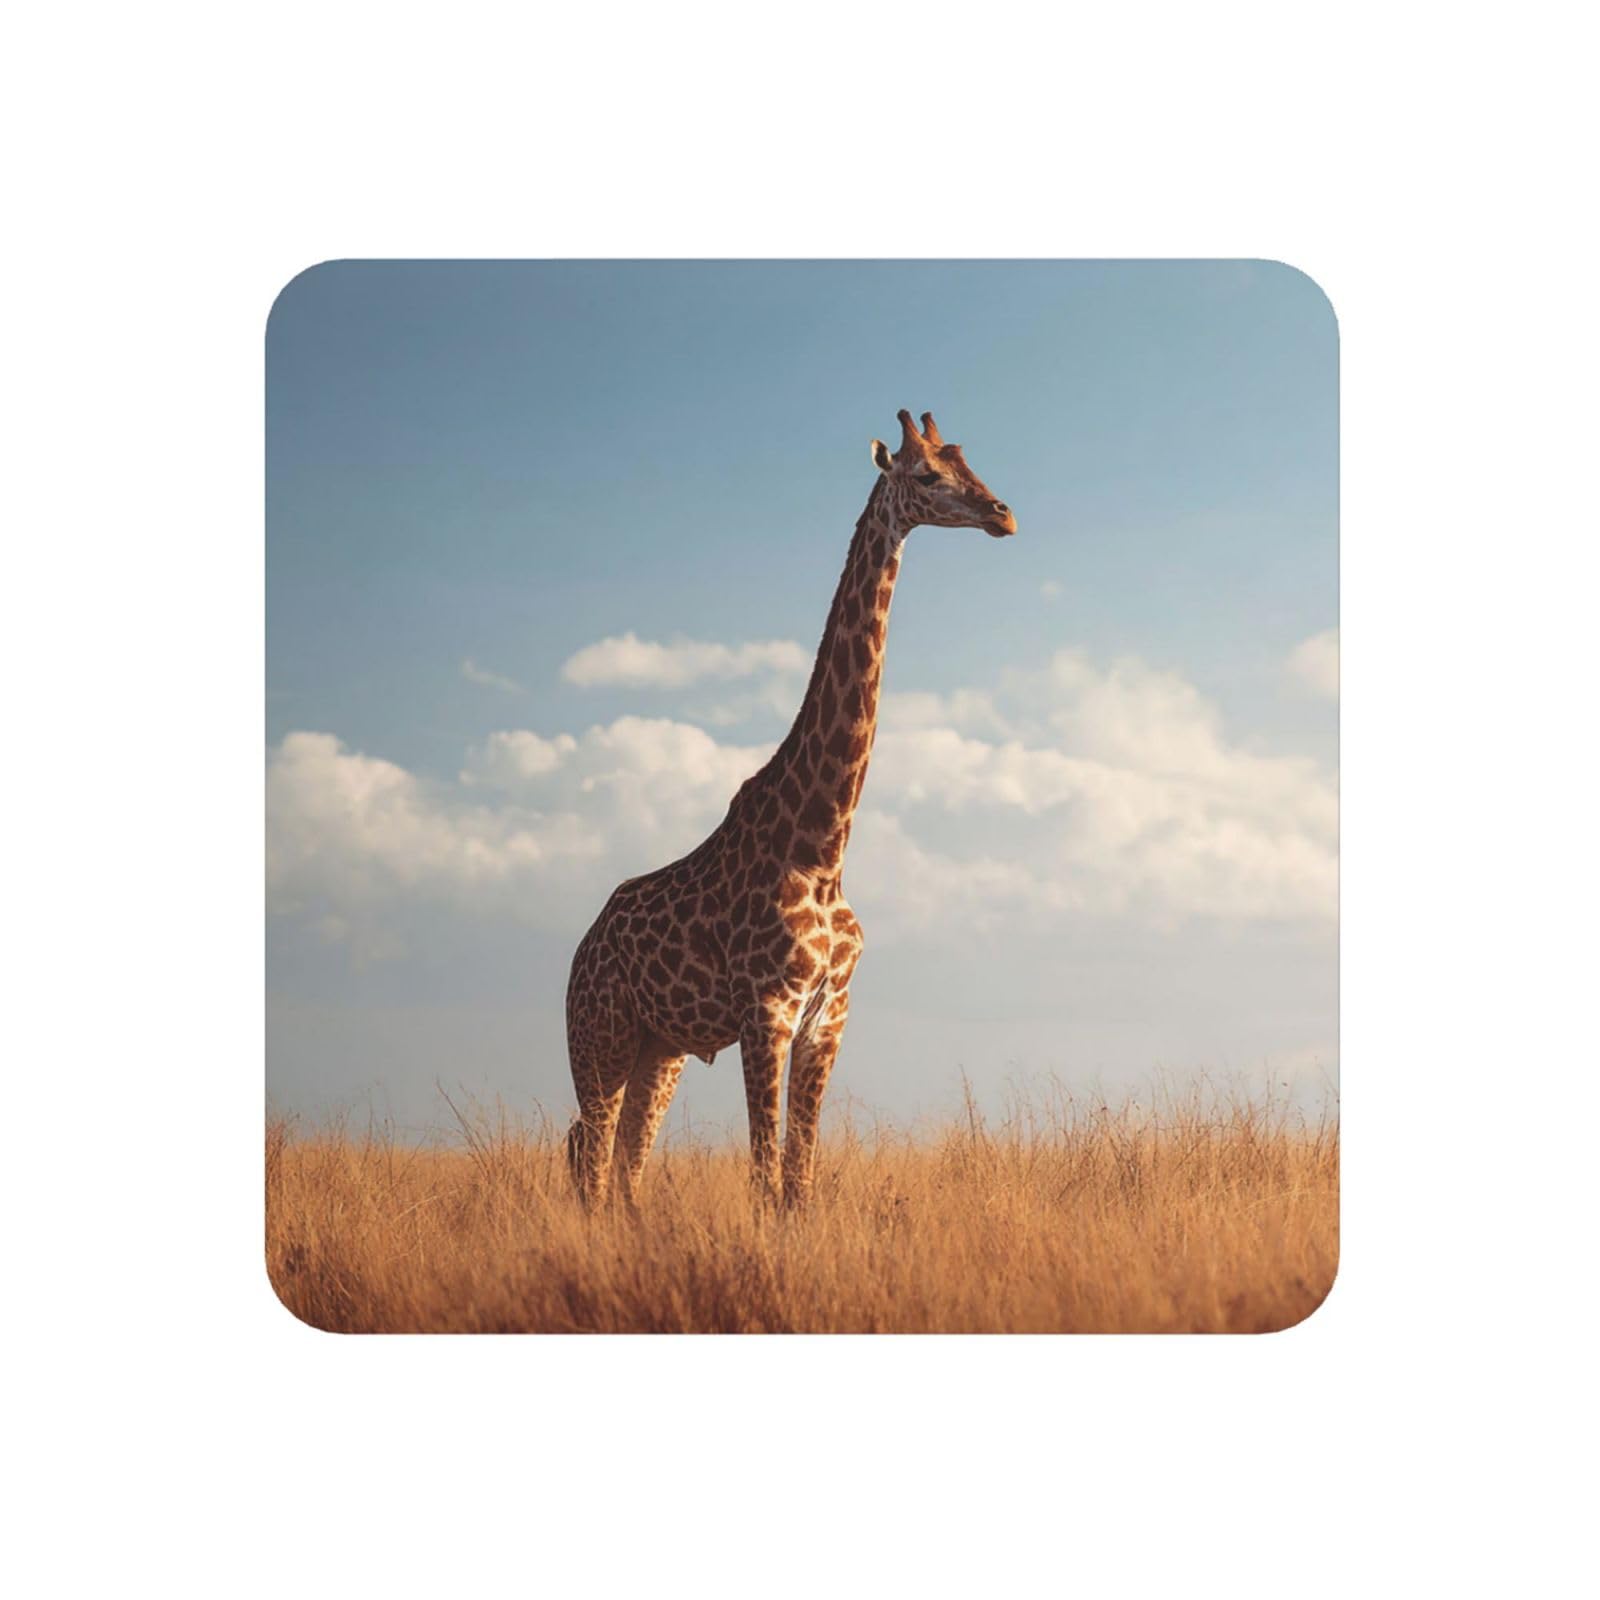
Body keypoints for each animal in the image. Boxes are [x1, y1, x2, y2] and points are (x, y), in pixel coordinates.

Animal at [565, 409, 1016, 1209]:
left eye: (969, 461)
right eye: (926, 474)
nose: (1003, 514)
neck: (823, 845)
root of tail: (578, 954)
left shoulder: (828, 1017)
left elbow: (798, 1179)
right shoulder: (766, 1011)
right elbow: (764, 1174)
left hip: (659, 1050)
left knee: (623, 1168)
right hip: (600, 1038)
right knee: (588, 1161)